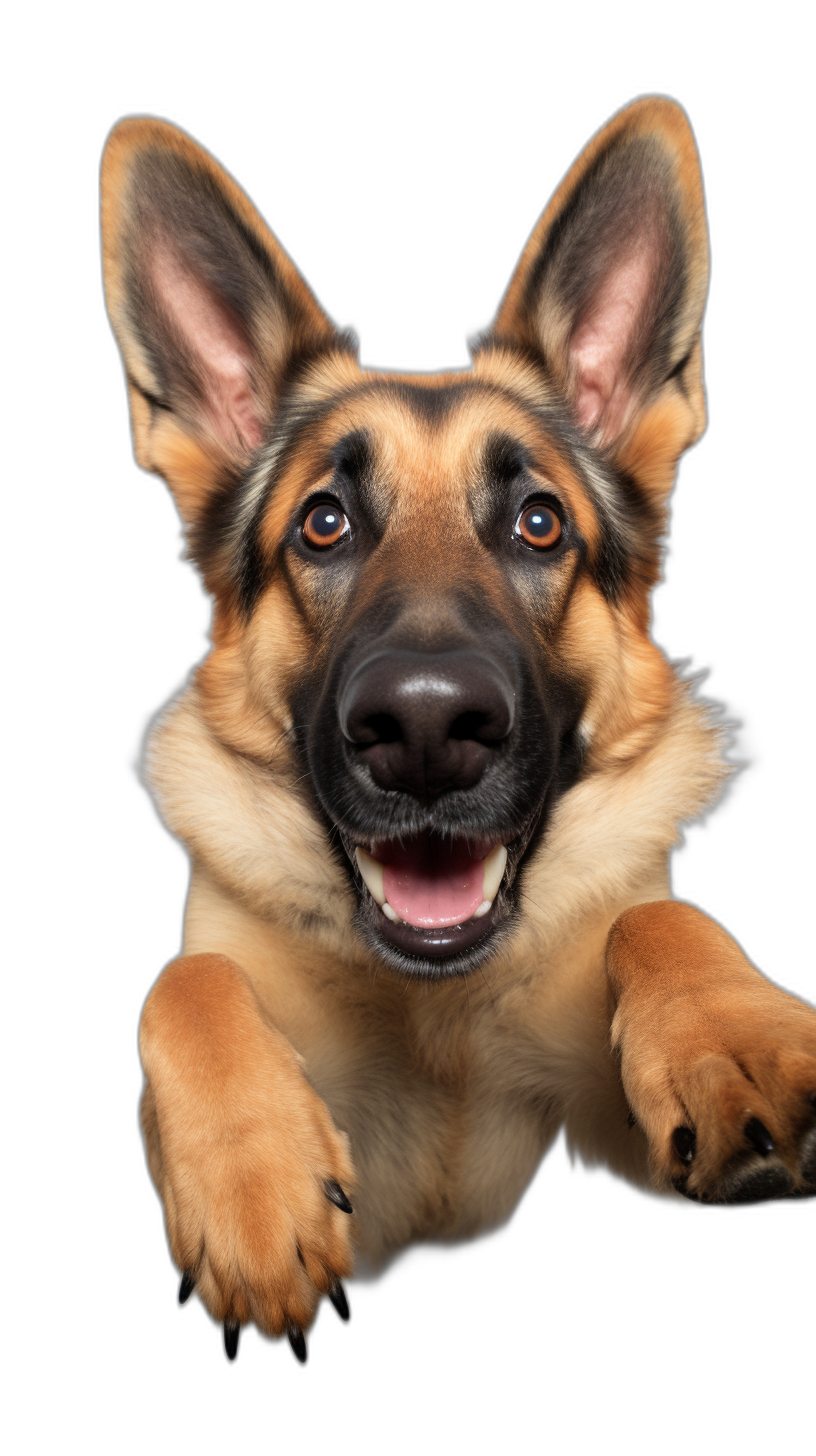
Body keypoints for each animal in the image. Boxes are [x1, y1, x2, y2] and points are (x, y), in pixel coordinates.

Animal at [100, 96, 816, 1356]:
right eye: (323, 523)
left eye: (539, 522)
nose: (426, 728)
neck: (434, 1012)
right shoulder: (210, 988)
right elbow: (183, 982)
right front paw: (253, 1184)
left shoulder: (604, 1121)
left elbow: (659, 917)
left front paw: (733, 1040)